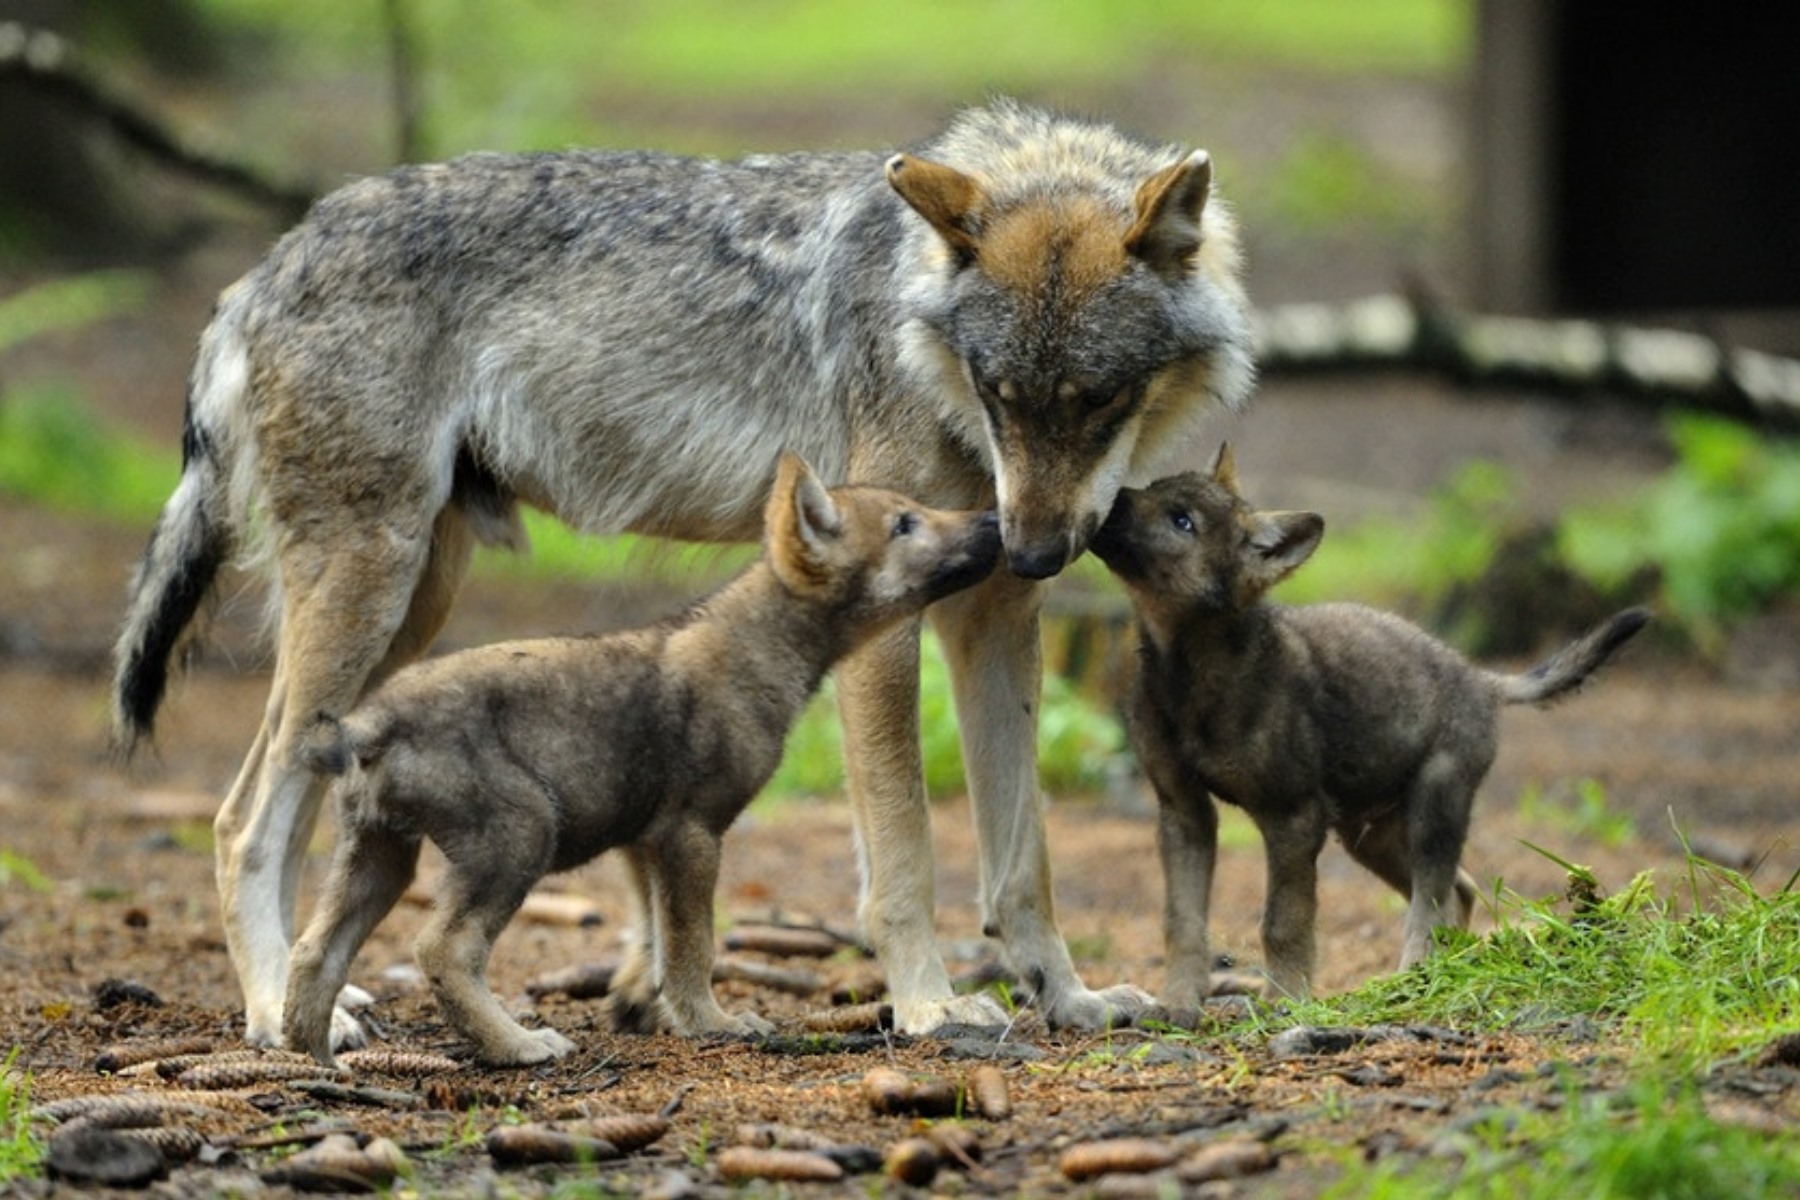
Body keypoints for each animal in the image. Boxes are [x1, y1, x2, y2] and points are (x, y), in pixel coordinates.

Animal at [288, 455, 1008, 1065]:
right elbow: (693, 946)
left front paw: (655, 1013)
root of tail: (366, 724)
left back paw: (315, 1057)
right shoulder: (693, 832)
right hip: (517, 837)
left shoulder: (642, 837)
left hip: (381, 853)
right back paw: (519, 1045)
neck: (762, 647)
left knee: (314, 950)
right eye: (905, 523)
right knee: (443, 949)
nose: (994, 520)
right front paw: (714, 1024)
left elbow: (657, 942)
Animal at [1080, 446, 1648, 1000]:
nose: (1108, 499)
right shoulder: (1183, 811)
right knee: (1459, 891)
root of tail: (1484, 680)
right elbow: (1181, 917)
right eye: (1153, 488)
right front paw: (1178, 1004)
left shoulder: (1294, 817)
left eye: (1183, 521)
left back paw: (1411, 978)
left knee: (1432, 901)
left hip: (1434, 810)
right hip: (1370, 836)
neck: (1187, 674)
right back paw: (1438, 972)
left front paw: (1286, 1002)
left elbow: (1282, 921)